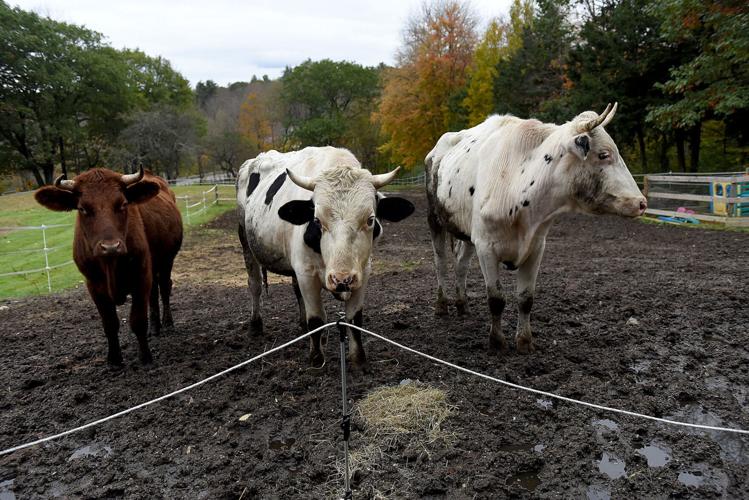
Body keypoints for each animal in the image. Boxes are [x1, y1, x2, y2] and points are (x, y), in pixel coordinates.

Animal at [34, 166, 183, 366]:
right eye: (82, 208)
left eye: (123, 204)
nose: (110, 247)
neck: (110, 265)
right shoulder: (94, 285)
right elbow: (110, 323)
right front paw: (114, 359)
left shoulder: (140, 276)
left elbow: (138, 320)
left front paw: (145, 357)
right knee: (153, 294)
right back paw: (155, 327)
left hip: (167, 260)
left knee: (165, 288)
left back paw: (167, 322)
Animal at [235, 146, 414, 370]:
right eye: (317, 220)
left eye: (370, 219)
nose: (341, 279)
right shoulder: (306, 274)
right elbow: (317, 319)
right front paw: (316, 359)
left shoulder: (363, 273)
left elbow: (354, 320)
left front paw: (358, 359)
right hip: (245, 240)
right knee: (255, 284)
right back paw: (255, 325)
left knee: (295, 291)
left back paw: (303, 326)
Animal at [426, 104, 648, 356]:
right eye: (603, 154)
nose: (641, 203)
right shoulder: (486, 247)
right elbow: (496, 299)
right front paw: (497, 342)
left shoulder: (535, 247)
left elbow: (525, 299)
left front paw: (524, 341)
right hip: (435, 220)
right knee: (441, 263)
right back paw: (442, 305)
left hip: (466, 232)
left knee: (461, 264)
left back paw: (462, 304)